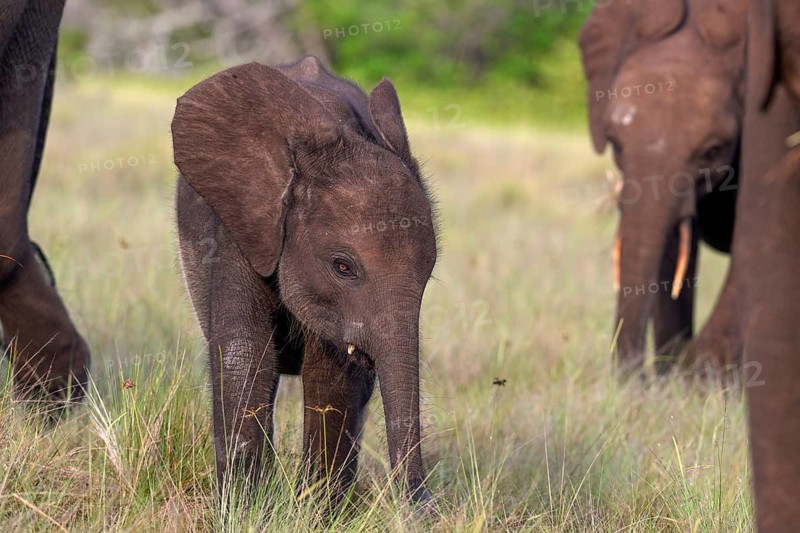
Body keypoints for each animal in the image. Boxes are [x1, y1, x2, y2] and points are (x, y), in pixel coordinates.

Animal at [171, 56, 438, 507]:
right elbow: (245, 353)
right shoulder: (242, 226)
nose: (423, 505)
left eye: (429, 274)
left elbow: (334, 375)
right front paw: (241, 510)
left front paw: (315, 512)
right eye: (343, 267)